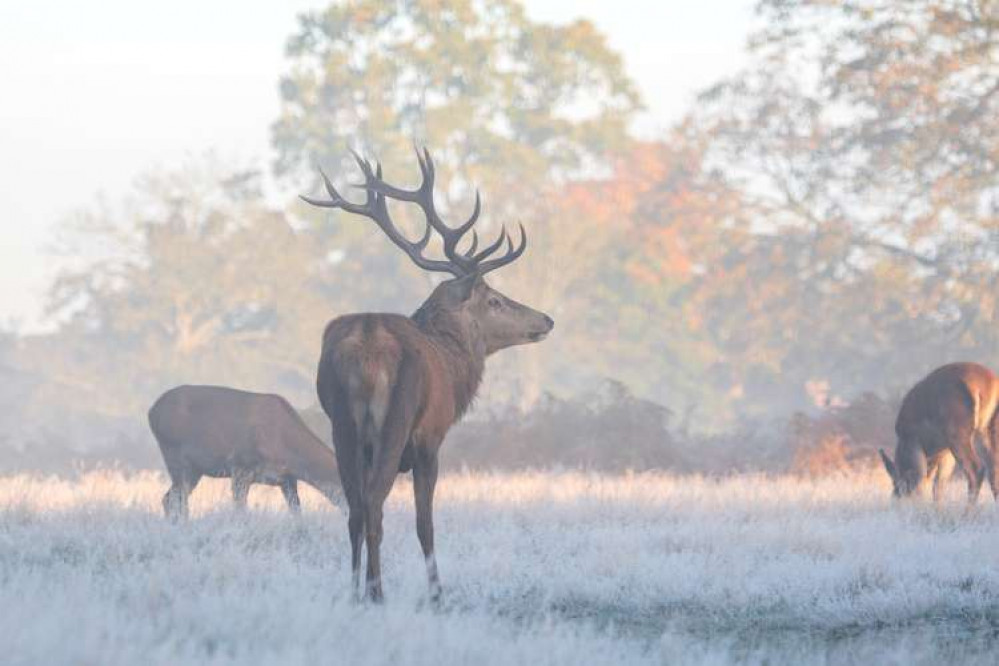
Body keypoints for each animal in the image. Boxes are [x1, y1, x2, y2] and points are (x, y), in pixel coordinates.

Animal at [147, 382, 344, 516]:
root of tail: (151, 412)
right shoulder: (241, 468)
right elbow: (240, 510)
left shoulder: (287, 479)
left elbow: (296, 511)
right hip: (175, 457)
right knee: (176, 500)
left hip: (194, 469)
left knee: (171, 499)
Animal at [304, 150, 556, 600]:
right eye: (494, 300)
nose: (546, 319)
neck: (455, 369)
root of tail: (367, 347)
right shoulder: (431, 439)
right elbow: (426, 524)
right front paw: (437, 592)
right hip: (395, 421)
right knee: (374, 505)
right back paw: (377, 594)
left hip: (342, 427)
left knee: (354, 508)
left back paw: (354, 592)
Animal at [884, 360, 999, 500]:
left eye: (896, 482)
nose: (894, 497)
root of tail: (990, 385)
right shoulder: (945, 452)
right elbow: (938, 487)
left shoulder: (913, 442)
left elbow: (920, 480)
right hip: (987, 430)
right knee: (994, 470)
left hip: (958, 435)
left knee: (976, 469)